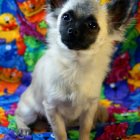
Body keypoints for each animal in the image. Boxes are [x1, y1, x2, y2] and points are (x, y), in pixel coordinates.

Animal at [14, 0, 134, 139]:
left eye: (92, 25)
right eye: (66, 17)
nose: (73, 30)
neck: (75, 65)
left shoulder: (90, 109)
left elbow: (85, 129)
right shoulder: (52, 108)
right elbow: (60, 132)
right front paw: (59, 135)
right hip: (30, 113)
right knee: (18, 115)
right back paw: (23, 128)